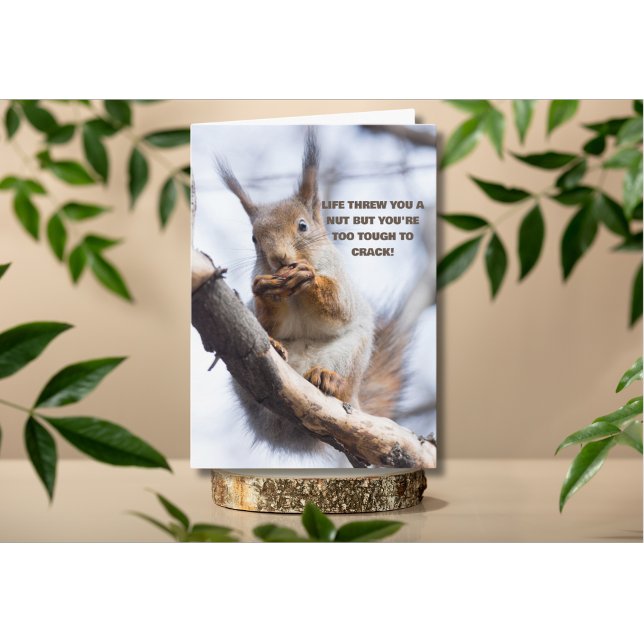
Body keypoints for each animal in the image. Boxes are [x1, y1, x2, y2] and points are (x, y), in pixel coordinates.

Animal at [218, 128, 405, 459]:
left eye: (302, 226)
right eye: (254, 239)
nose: (278, 259)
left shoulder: (342, 286)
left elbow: (338, 309)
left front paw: (309, 277)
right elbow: (265, 320)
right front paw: (266, 292)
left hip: (350, 355)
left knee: (339, 384)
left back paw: (328, 380)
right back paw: (274, 350)